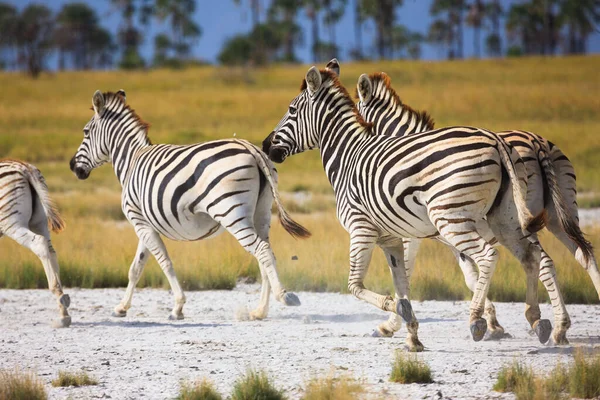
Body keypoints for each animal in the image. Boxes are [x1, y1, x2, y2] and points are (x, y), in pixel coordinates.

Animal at [0, 158, 71, 326]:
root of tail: (25, 167)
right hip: (40, 222)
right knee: (51, 251)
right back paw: (63, 311)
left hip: (12, 224)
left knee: (39, 243)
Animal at [70, 89, 310, 320]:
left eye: (85, 132)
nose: (73, 166)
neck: (131, 161)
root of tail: (250, 147)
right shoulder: (145, 224)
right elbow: (136, 267)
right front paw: (121, 308)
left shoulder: (138, 220)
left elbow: (165, 262)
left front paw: (177, 308)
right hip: (261, 212)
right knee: (265, 253)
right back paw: (260, 311)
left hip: (231, 213)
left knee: (261, 250)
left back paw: (284, 296)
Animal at [262, 65, 552, 350]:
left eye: (291, 110)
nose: (265, 145)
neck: (348, 157)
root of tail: (495, 140)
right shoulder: (391, 237)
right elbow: (402, 282)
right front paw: (411, 334)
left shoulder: (362, 229)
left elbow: (356, 285)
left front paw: (395, 313)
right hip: (505, 218)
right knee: (532, 257)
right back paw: (539, 320)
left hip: (452, 218)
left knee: (489, 256)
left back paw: (478, 321)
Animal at [354, 67, 596, 346]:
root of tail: (537, 143)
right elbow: (471, 274)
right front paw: (492, 323)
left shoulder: (416, 232)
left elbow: (407, 271)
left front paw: (391, 325)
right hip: (560, 214)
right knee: (583, 254)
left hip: (519, 220)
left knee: (544, 261)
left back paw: (557, 329)